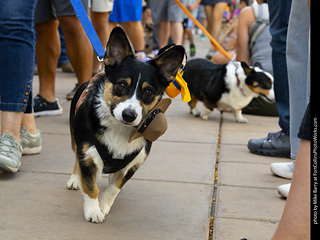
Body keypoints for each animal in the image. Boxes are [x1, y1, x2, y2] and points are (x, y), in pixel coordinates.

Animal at [65, 26, 185, 223]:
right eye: (121, 85)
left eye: (148, 91)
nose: (129, 115)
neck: (119, 129)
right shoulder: (88, 154)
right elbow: (90, 186)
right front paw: (93, 211)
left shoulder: (133, 163)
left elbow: (115, 187)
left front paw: (104, 205)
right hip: (75, 137)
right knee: (76, 157)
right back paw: (75, 179)